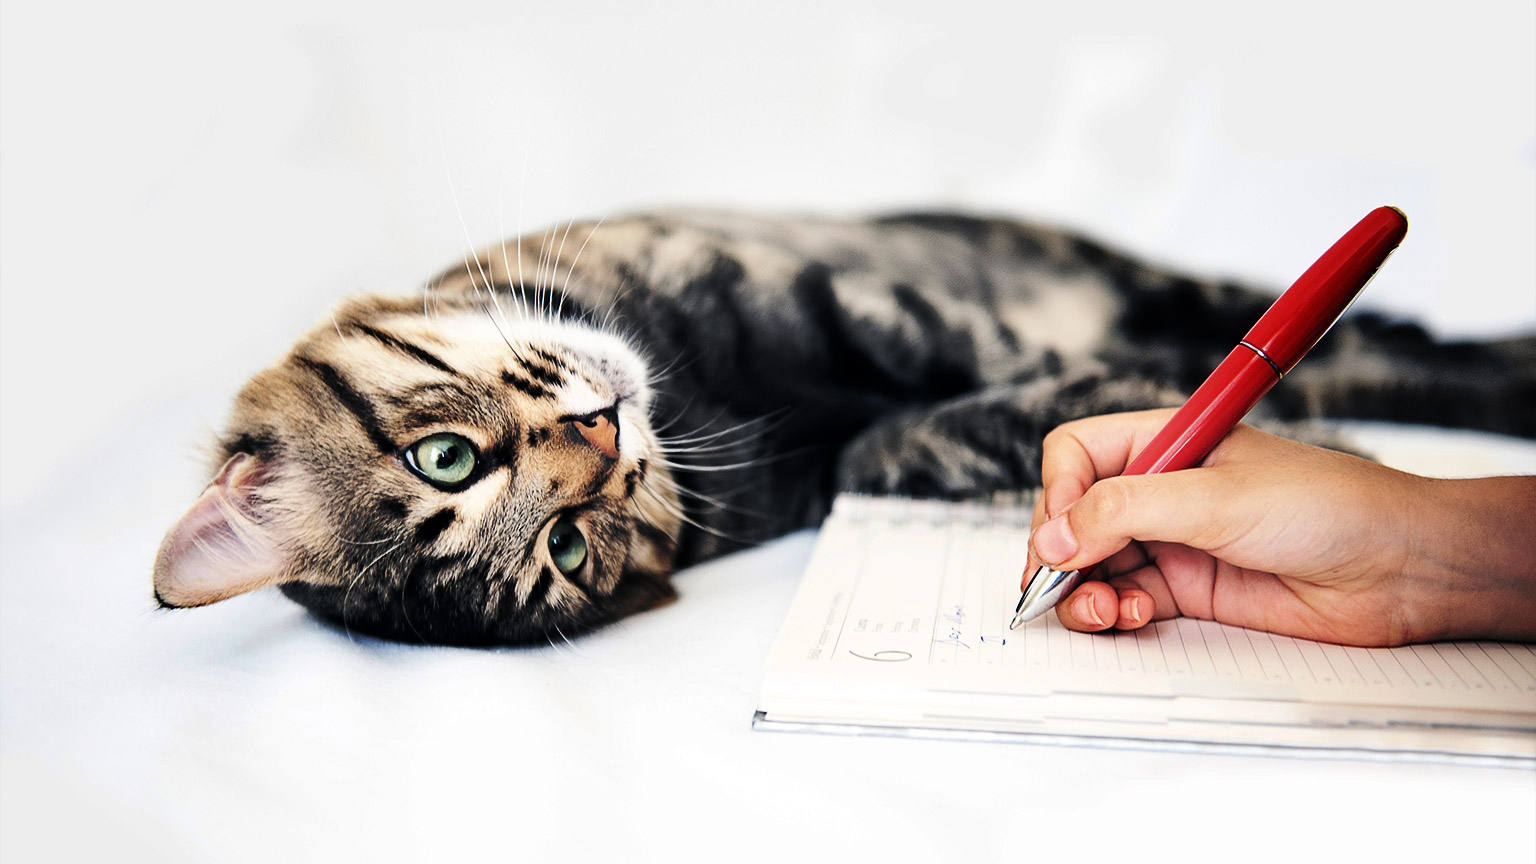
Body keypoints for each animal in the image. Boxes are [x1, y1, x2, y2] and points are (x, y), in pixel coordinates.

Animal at [152, 209, 1536, 639]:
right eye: (571, 552)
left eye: (444, 455)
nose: (604, 443)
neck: (700, 390)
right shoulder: (838, 460)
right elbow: (914, 436)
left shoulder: (861, 302)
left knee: (1377, 334)